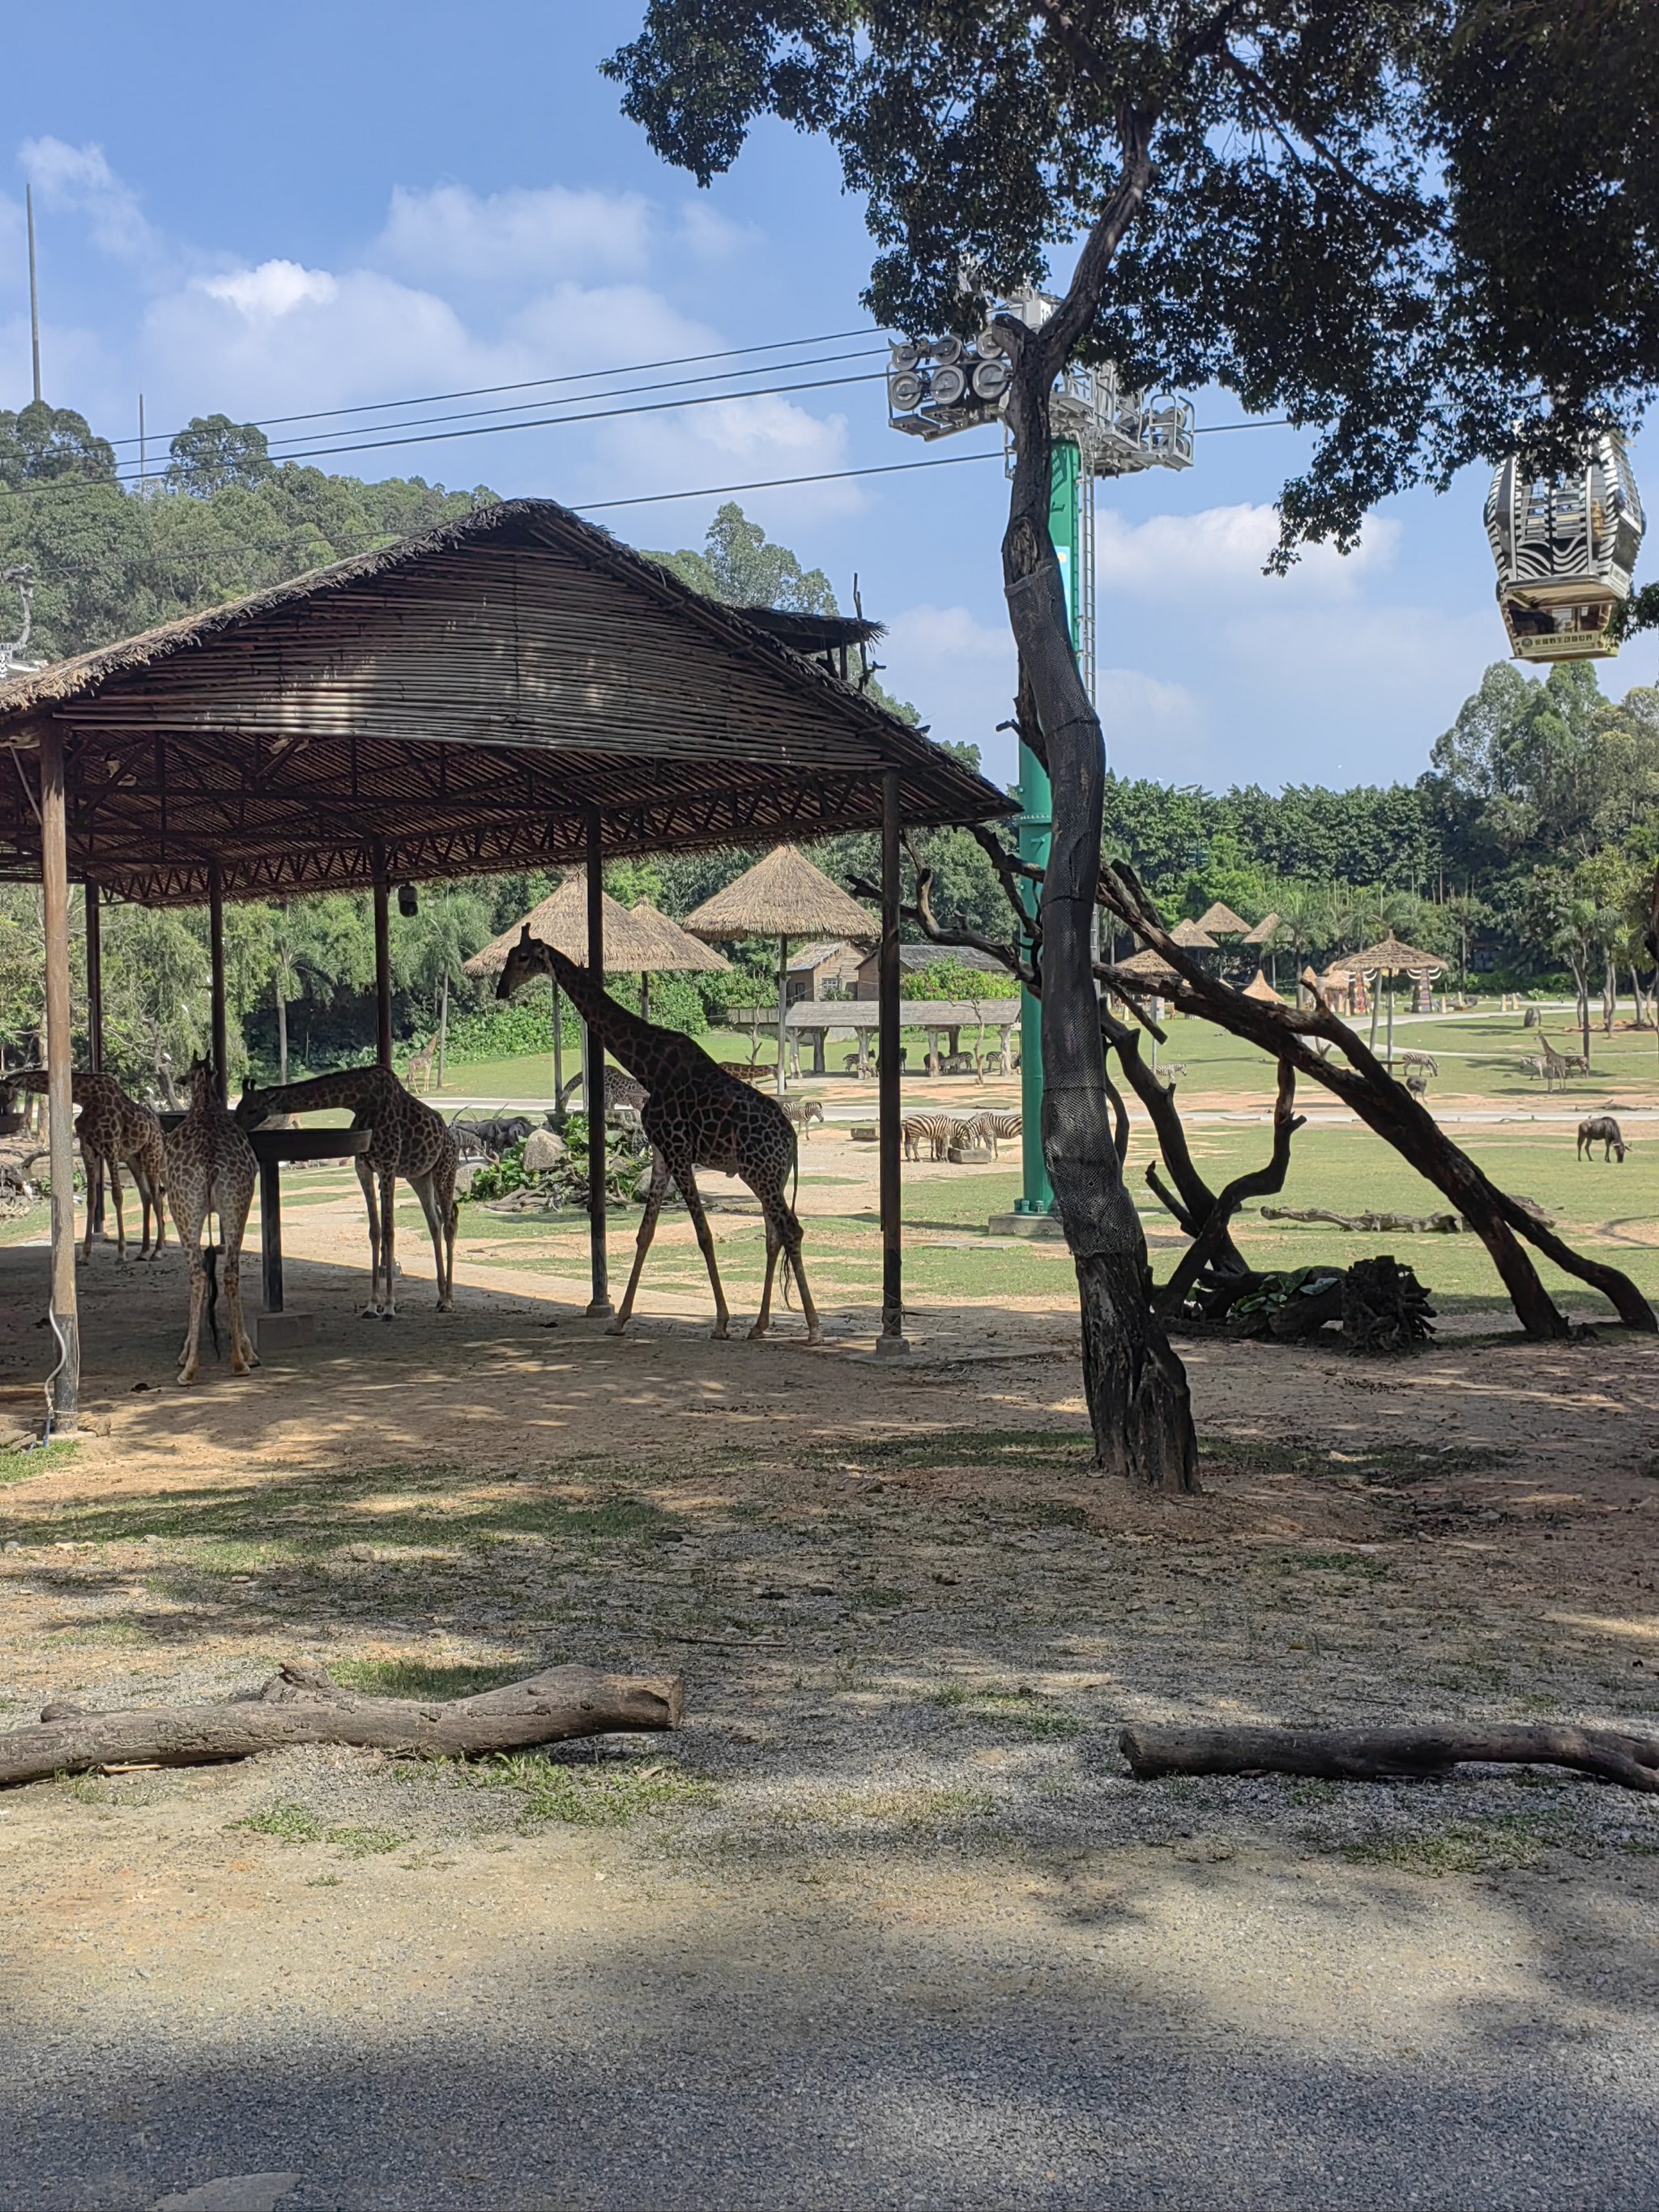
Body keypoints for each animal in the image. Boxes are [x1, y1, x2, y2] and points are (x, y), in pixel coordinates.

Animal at [1, 1070, 168, 1265]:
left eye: (7, 1095)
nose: (5, 1115)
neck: (84, 1097)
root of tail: (159, 1129)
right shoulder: (88, 1149)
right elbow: (91, 1199)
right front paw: (85, 1255)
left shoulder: (110, 1146)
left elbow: (117, 1196)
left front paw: (121, 1252)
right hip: (133, 1158)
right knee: (147, 1196)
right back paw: (143, 1251)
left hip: (152, 1156)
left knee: (157, 1197)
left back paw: (158, 1251)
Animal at [168, 1052, 262, 1380]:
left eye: (186, 1073)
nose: (181, 1079)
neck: (205, 1104)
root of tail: (209, 1160)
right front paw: (249, 1352)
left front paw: (185, 1352)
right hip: (238, 1202)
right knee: (231, 1270)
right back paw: (240, 1361)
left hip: (182, 1207)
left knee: (198, 1273)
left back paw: (189, 1367)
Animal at [237, 1057, 458, 1309]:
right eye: (239, 1106)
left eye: (252, 1109)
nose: (234, 1124)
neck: (360, 1101)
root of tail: (450, 1137)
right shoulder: (363, 1167)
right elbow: (375, 1230)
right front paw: (372, 1304)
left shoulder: (387, 1166)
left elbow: (389, 1231)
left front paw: (389, 1305)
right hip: (419, 1177)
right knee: (435, 1222)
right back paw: (440, 1296)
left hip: (445, 1170)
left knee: (449, 1223)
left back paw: (449, 1299)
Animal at [500, 924, 827, 1336]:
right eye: (508, 955)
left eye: (523, 957)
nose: (501, 989)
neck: (647, 1065)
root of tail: (792, 1139)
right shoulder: (660, 1153)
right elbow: (645, 1233)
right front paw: (620, 1318)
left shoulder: (677, 1150)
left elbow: (703, 1234)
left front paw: (721, 1321)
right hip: (769, 1178)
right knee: (774, 1236)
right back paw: (760, 1325)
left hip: (760, 1174)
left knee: (790, 1230)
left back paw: (812, 1327)